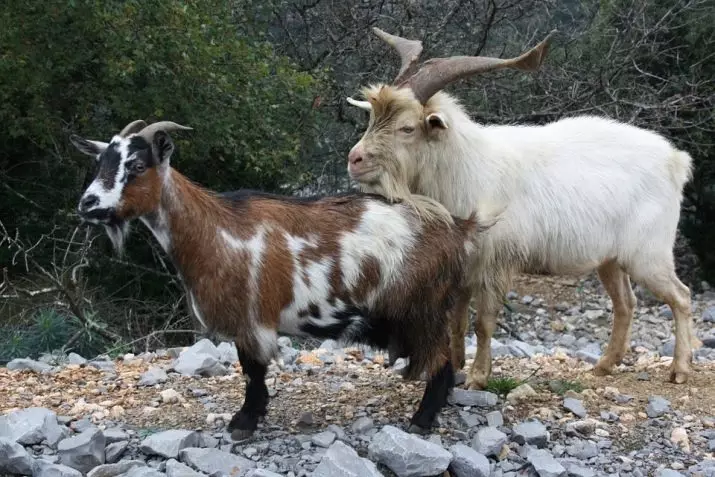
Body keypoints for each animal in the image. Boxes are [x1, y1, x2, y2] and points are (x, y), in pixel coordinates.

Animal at [70, 120, 482, 438]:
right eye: (99, 163)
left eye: (138, 165)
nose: (87, 204)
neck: (214, 229)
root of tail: (457, 228)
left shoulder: (251, 319)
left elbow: (253, 372)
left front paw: (244, 423)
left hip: (425, 309)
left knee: (442, 360)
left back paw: (422, 420)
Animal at [346, 27, 700, 388]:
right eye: (372, 116)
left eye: (407, 127)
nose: (354, 159)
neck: (466, 167)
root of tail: (675, 160)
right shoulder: (465, 266)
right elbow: (457, 320)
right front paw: (457, 366)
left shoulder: (497, 262)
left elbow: (483, 322)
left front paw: (478, 377)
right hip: (611, 259)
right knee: (626, 303)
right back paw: (604, 365)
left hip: (648, 254)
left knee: (681, 296)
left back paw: (680, 369)